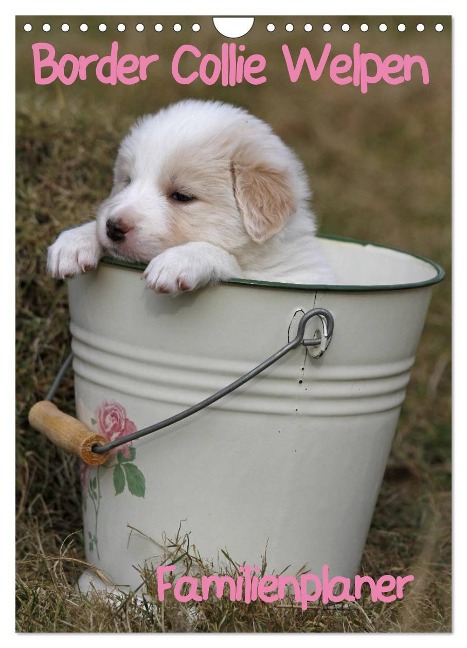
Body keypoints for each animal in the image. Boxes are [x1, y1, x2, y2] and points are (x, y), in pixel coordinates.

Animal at [47, 99, 334, 294]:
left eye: (182, 196)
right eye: (127, 182)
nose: (114, 227)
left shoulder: (287, 276)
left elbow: (225, 257)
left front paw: (178, 261)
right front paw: (75, 240)